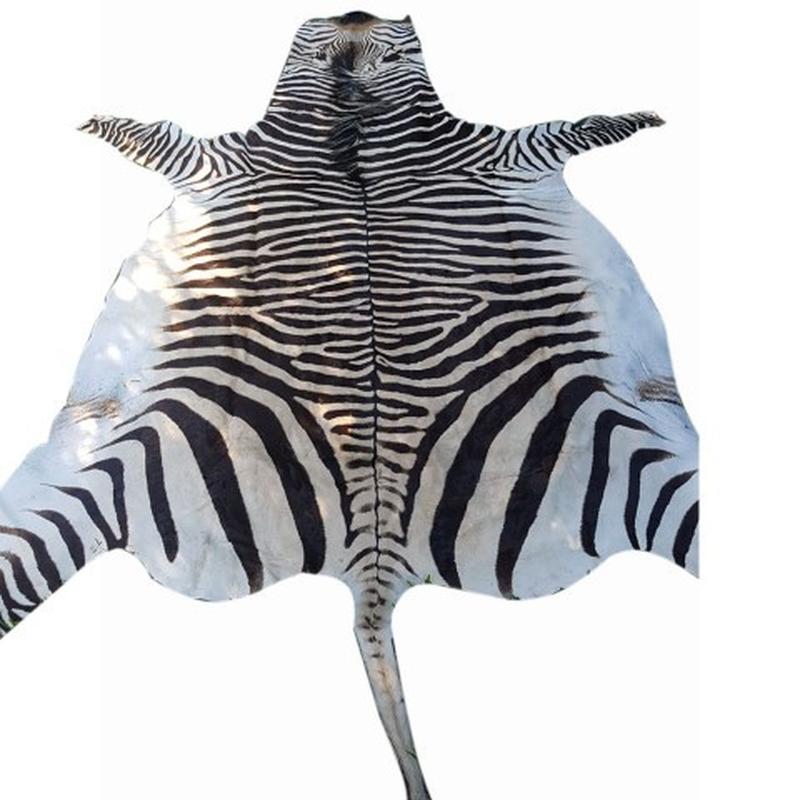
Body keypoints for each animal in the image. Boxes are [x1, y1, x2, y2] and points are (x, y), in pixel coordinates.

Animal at [0, 10, 698, 799]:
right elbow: (150, 134)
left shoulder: (503, 153)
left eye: (397, 36)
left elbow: (576, 125)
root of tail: (373, 567)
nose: (355, 14)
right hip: (98, 465)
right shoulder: (219, 160)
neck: (354, 114)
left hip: (643, 454)